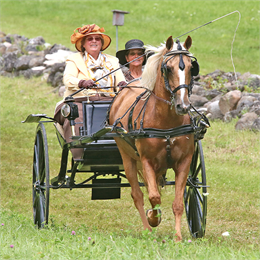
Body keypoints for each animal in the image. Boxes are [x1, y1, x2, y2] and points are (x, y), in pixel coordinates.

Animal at [109, 35, 197, 241]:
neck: (166, 122)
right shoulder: (147, 160)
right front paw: (153, 218)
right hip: (128, 159)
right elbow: (153, 196)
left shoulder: (185, 161)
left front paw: (178, 237)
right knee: (138, 195)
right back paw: (147, 228)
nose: (183, 106)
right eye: (168, 68)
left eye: (192, 67)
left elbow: (178, 203)